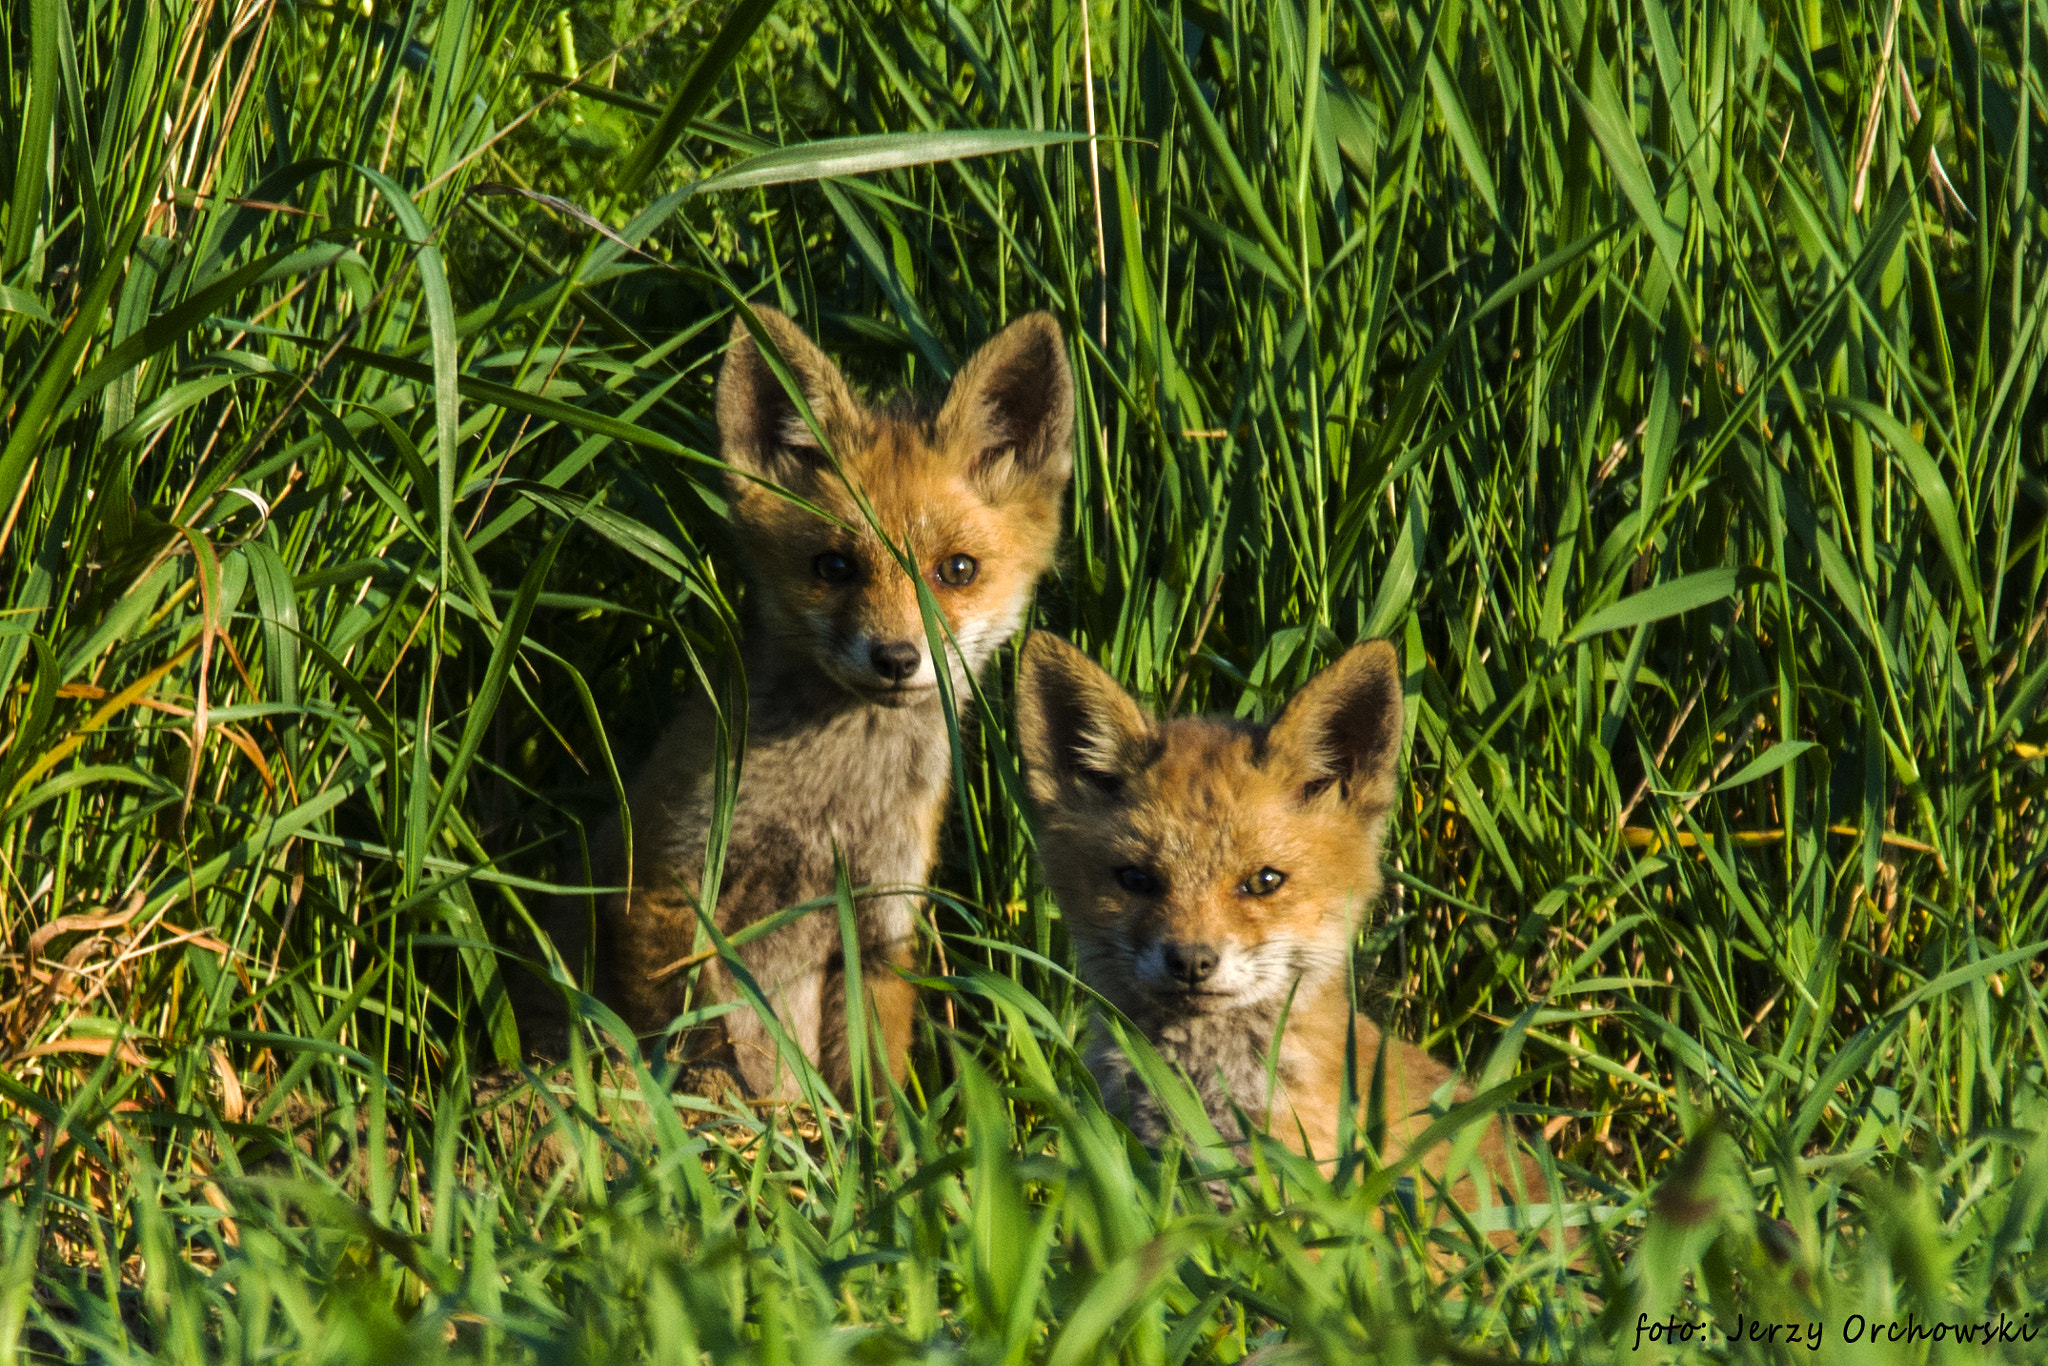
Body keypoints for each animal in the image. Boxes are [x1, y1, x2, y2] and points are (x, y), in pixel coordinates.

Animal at [589, 306, 1074, 1102]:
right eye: (835, 567)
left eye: (957, 570)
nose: (898, 658)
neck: (830, 811)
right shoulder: (668, 885)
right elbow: (704, 1040)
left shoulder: (881, 923)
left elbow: (874, 1091)